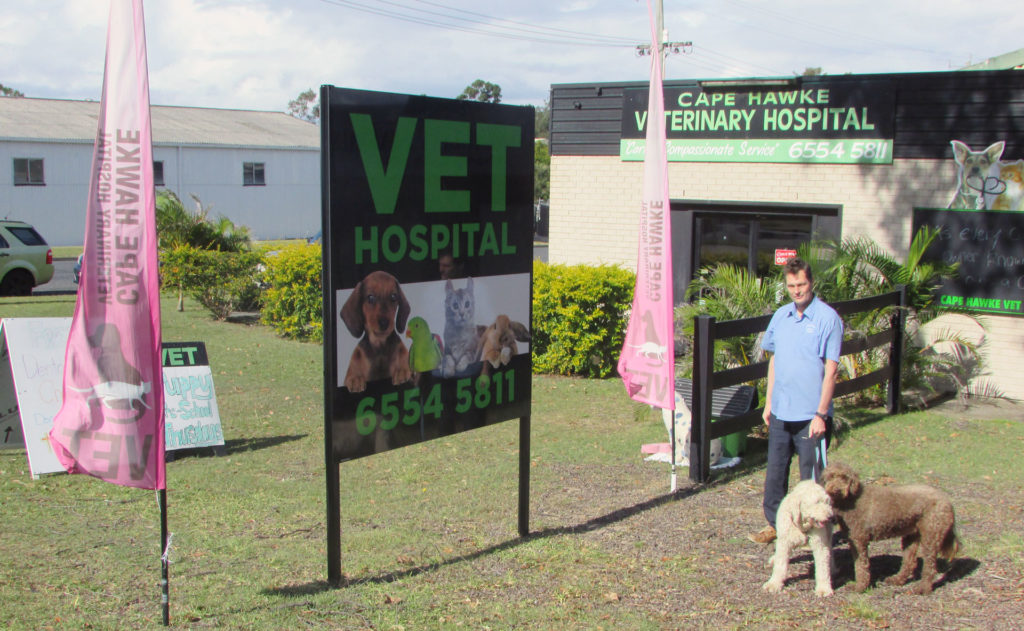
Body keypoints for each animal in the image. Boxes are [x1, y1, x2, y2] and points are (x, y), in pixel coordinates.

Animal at [823, 460, 958, 594]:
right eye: (830, 476)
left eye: (845, 477)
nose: (836, 490)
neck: (850, 499)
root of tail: (947, 501)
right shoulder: (853, 540)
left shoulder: (859, 540)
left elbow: (861, 566)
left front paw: (860, 587)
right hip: (911, 536)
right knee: (909, 562)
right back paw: (897, 580)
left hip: (931, 536)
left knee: (929, 566)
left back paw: (923, 588)